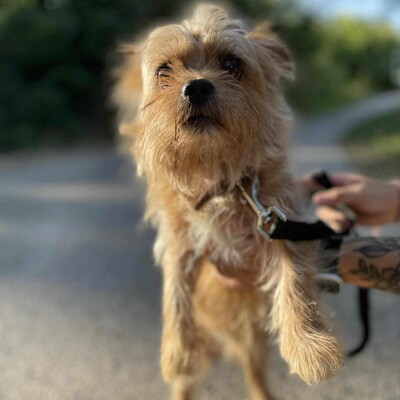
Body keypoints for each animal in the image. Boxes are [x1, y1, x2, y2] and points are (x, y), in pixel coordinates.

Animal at [113, 3, 344, 400]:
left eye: (231, 63)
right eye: (164, 70)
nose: (196, 86)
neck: (215, 173)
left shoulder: (284, 224)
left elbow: (295, 280)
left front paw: (308, 347)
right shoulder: (179, 241)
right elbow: (175, 291)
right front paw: (177, 350)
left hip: (252, 345)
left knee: (255, 376)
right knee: (186, 383)